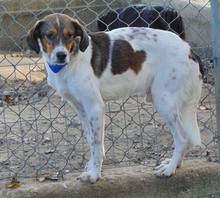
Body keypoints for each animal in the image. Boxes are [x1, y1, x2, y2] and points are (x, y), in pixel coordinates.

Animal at [27, 13, 203, 183]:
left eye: (69, 35)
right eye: (49, 35)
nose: (61, 55)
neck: (71, 62)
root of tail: (190, 51)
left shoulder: (95, 107)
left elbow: (97, 145)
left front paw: (94, 175)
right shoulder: (81, 109)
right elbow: (91, 141)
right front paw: (92, 166)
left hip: (164, 101)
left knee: (182, 137)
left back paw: (169, 169)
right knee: (186, 137)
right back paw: (176, 164)